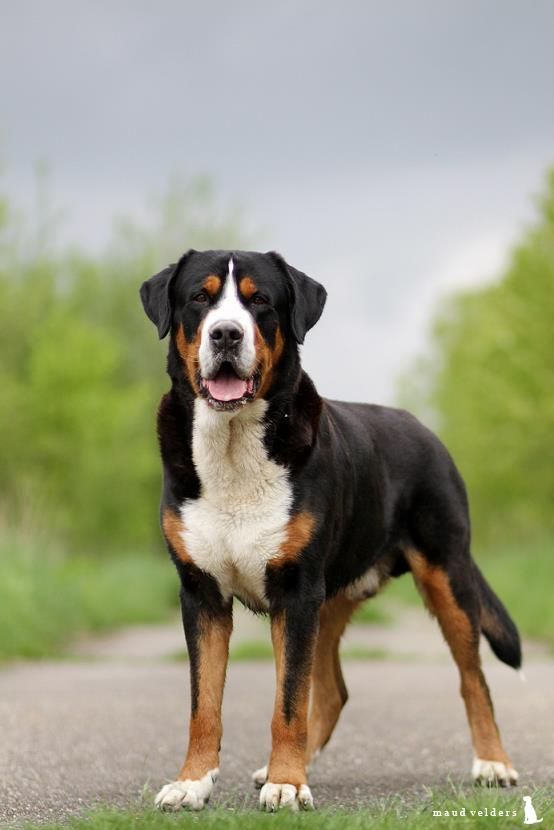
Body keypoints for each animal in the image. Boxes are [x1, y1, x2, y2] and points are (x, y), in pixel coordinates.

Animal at [140, 250, 520, 816]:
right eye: (199, 299)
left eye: (259, 300)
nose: (227, 334)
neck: (233, 448)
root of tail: (423, 429)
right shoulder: (202, 593)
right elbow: (204, 703)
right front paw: (192, 782)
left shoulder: (296, 592)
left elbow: (288, 701)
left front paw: (287, 785)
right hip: (331, 598)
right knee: (334, 690)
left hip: (446, 575)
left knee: (473, 678)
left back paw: (493, 764)